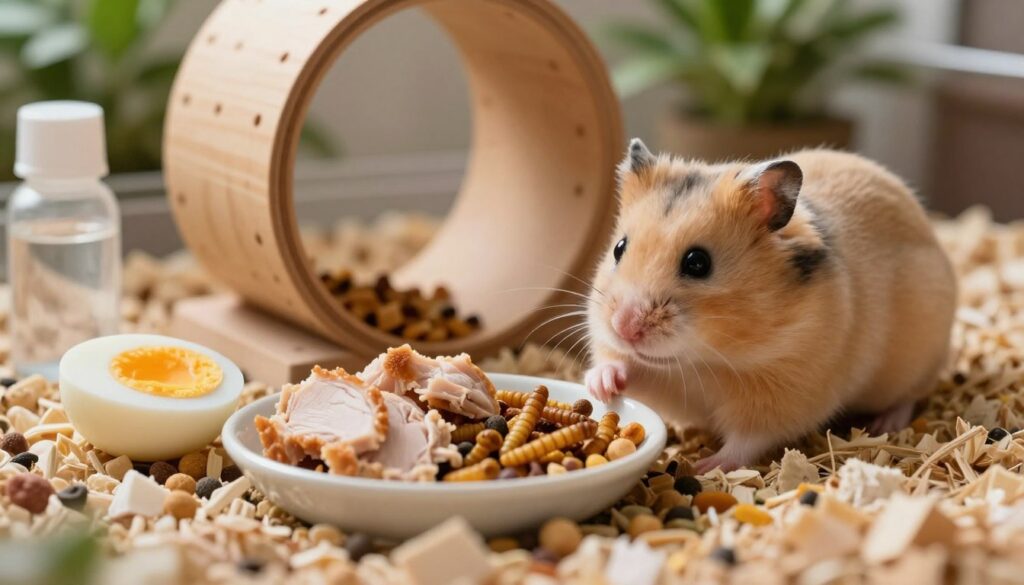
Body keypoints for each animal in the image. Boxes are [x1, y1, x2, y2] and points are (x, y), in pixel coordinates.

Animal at [584, 139, 957, 472]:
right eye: (618, 247)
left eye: (697, 263)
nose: (624, 327)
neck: (705, 361)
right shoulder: (665, 379)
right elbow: (622, 365)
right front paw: (601, 385)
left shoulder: (784, 396)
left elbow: (747, 439)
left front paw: (707, 466)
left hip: (919, 357)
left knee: (909, 396)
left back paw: (885, 424)